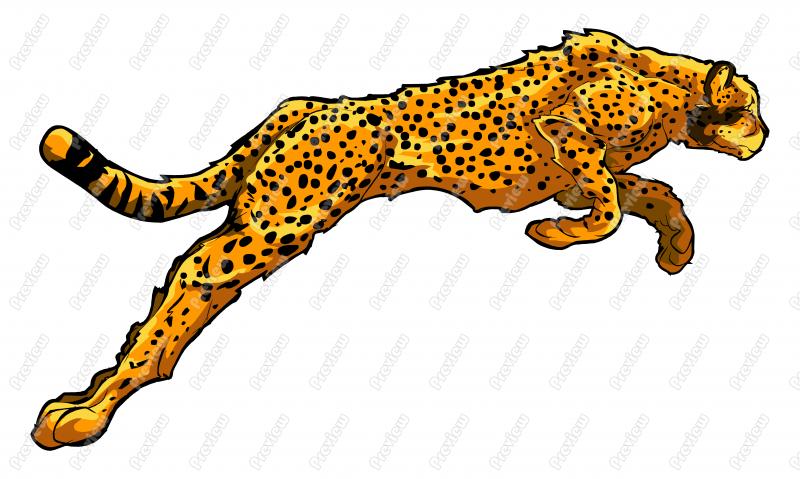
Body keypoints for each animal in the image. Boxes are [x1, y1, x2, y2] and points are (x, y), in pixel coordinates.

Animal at [32, 29, 767, 449]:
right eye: (750, 109)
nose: (764, 136)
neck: (678, 86)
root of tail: (293, 112)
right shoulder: (569, 132)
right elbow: (610, 205)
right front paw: (556, 235)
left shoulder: (573, 172)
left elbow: (647, 193)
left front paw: (674, 246)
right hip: (278, 223)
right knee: (193, 278)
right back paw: (89, 411)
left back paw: (85, 401)